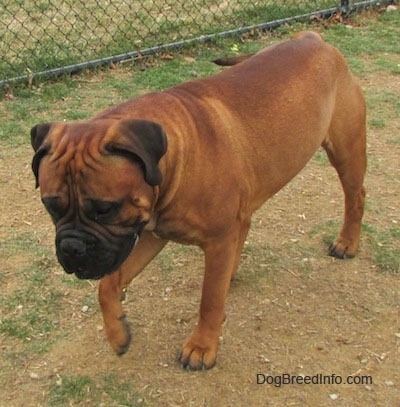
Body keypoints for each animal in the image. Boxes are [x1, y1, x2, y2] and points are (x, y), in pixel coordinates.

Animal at [31, 31, 368, 370]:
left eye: (105, 209)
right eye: (50, 206)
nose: (71, 248)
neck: (177, 157)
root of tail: (313, 37)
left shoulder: (215, 242)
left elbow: (210, 301)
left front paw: (202, 346)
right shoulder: (151, 234)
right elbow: (108, 285)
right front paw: (117, 333)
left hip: (346, 153)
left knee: (356, 197)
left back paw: (347, 242)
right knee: (245, 224)